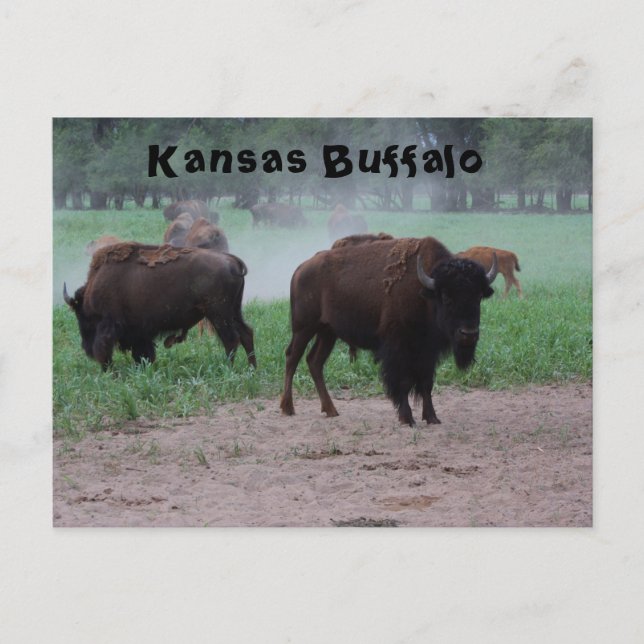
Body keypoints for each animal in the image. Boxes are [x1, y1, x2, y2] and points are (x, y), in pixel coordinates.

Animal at [63, 242, 256, 369]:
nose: (85, 348)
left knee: (231, 339)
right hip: (233, 311)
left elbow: (105, 349)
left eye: (81, 316)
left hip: (219, 314)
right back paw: (252, 369)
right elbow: (143, 352)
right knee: (246, 334)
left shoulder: (110, 326)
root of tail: (231, 260)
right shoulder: (139, 332)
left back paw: (228, 368)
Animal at [280, 236, 497, 426]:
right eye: (445, 296)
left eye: (478, 295)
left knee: (314, 361)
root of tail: (300, 269)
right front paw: (407, 419)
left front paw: (432, 418)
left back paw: (331, 410)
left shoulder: (427, 352)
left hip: (327, 332)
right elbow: (403, 382)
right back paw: (287, 408)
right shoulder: (398, 348)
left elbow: (426, 383)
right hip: (303, 328)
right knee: (292, 357)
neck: (424, 291)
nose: (468, 334)